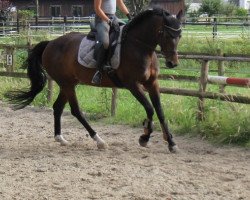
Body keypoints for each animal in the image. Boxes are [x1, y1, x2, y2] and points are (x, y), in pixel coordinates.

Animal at [5, 7, 182, 152]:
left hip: (69, 84)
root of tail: (50, 43)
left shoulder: (152, 83)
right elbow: (150, 109)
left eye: (179, 35)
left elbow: (160, 111)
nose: (172, 63)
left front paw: (171, 143)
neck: (139, 46)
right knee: (76, 111)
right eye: (167, 34)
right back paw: (99, 141)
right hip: (67, 84)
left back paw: (60, 138)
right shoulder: (133, 85)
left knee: (57, 107)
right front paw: (144, 137)